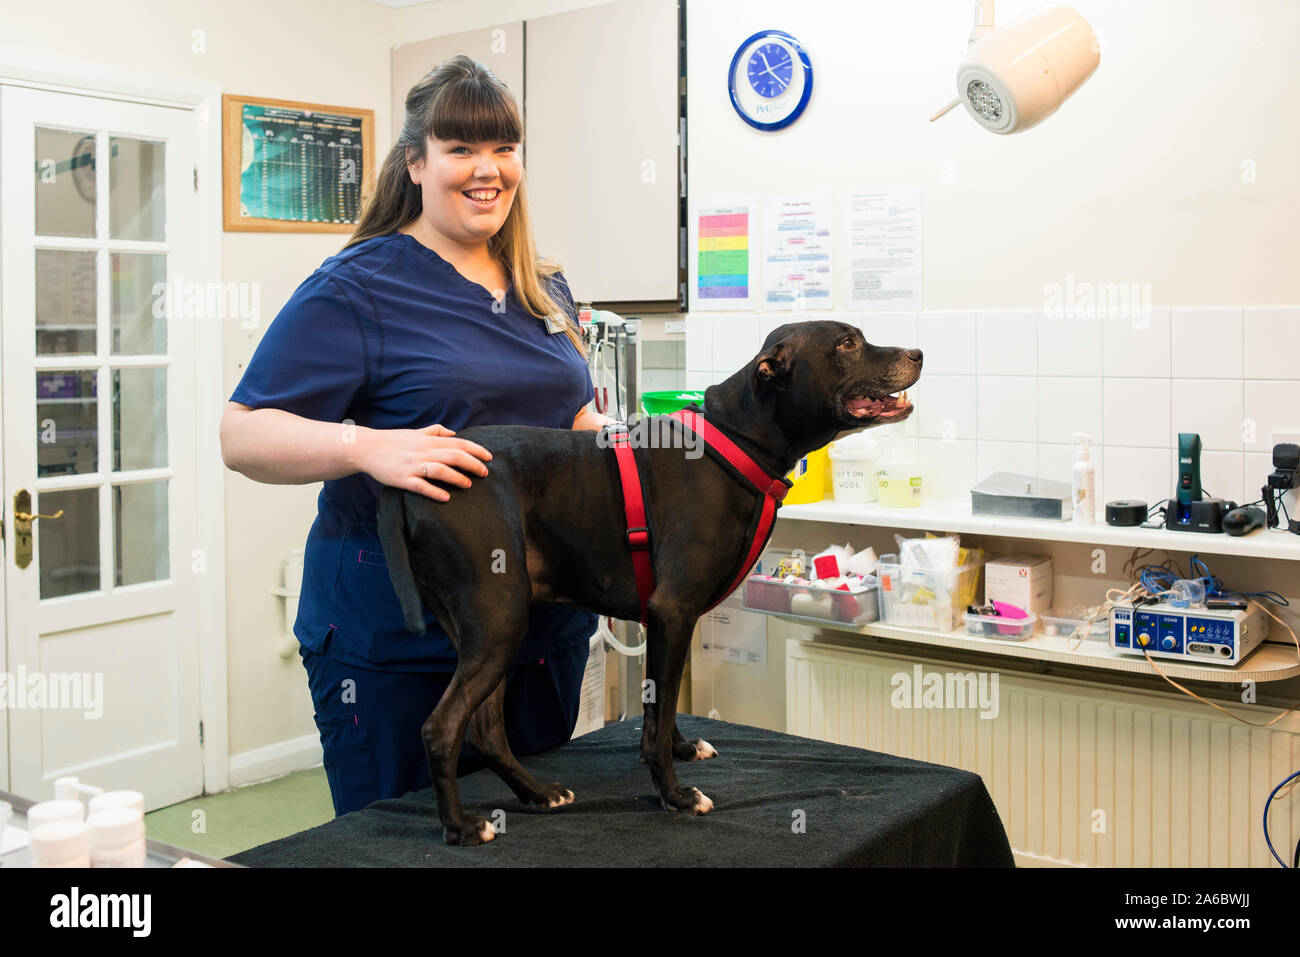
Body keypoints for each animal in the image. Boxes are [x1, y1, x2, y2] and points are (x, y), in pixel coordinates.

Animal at [377, 317, 925, 842]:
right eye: (848, 344)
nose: (918, 353)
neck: (735, 440)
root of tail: (417, 483)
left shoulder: (664, 622)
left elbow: (660, 707)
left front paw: (681, 748)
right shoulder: (672, 611)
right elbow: (655, 727)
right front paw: (676, 796)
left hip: (487, 631)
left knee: (486, 730)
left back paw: (538, 793)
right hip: (499, 621)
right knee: (442, 729)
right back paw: (461, 826)